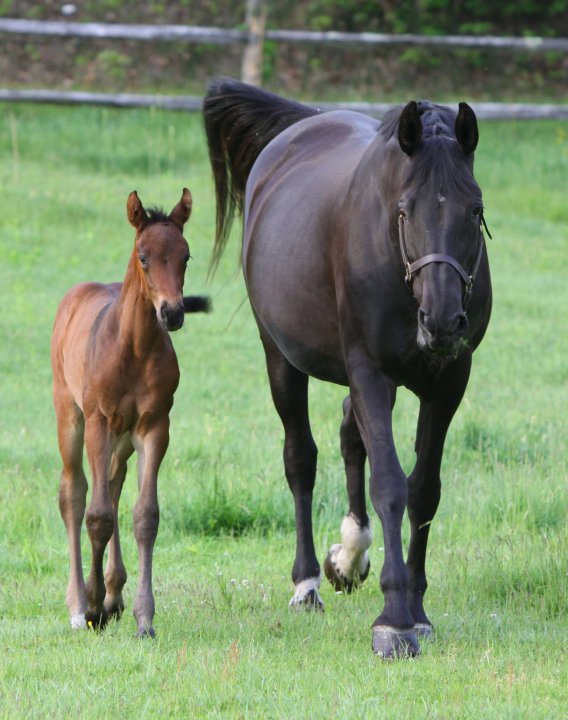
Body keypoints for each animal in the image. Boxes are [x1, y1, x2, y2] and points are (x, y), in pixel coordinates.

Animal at [53, 187, 195, 636]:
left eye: (186, 256)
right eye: (144, 257)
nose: (173, 312)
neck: (133, 349)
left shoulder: (154, 426)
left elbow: (145, 516)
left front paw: (143, 617)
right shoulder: (99, 420)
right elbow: (96, 515)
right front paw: (92, 607)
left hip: (123, 436)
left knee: (113, 483)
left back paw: (113, 593)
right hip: (71, 416)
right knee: (74, 492)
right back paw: (80, 603)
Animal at [204, 80, 492, 660]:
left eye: (475, 210)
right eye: (404, 211)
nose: (442, 320)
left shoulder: (447, 381)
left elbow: (425, 488)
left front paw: (417, 607)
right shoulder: (370, 371)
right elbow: (390, 485)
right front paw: (395, 619)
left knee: (348, 433)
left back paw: (349, 554)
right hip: (281, 357)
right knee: (301, 459)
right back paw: (308, 583)